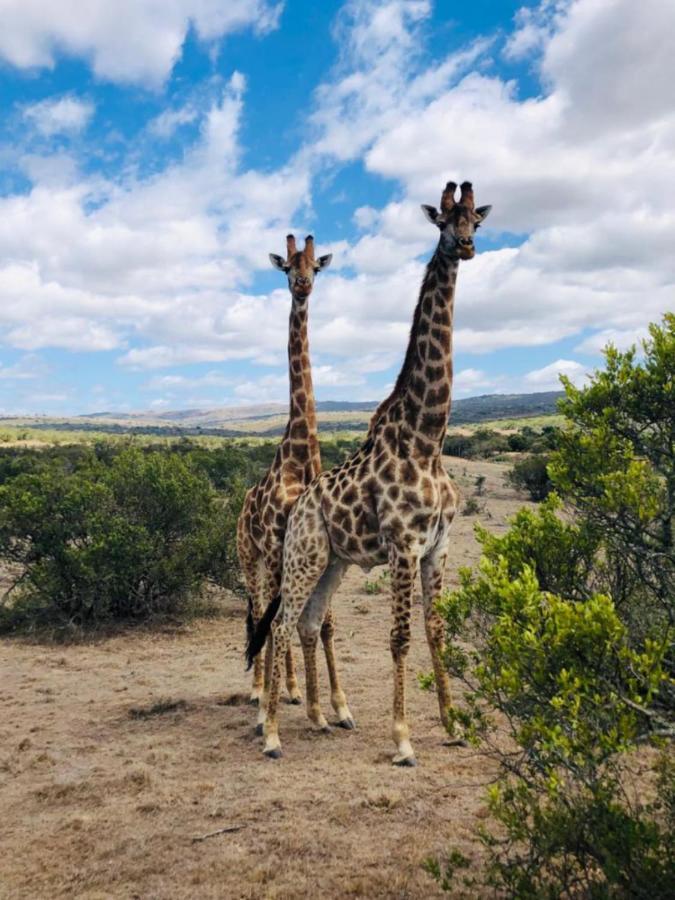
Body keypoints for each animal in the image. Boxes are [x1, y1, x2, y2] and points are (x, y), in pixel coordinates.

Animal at [248, 183, 492, 768]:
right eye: (442, 222)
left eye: (476, 220)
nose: (466, 246)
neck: (428, 438)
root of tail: (302, 504)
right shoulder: (403, 544)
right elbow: (400, 637)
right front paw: (403, 740)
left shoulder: (438, 546)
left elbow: (436, 632)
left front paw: (453, 725)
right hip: (296, 555)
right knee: (279, 622)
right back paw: (270, 731)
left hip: (332, 562)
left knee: (309, 622)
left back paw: (314, 716)